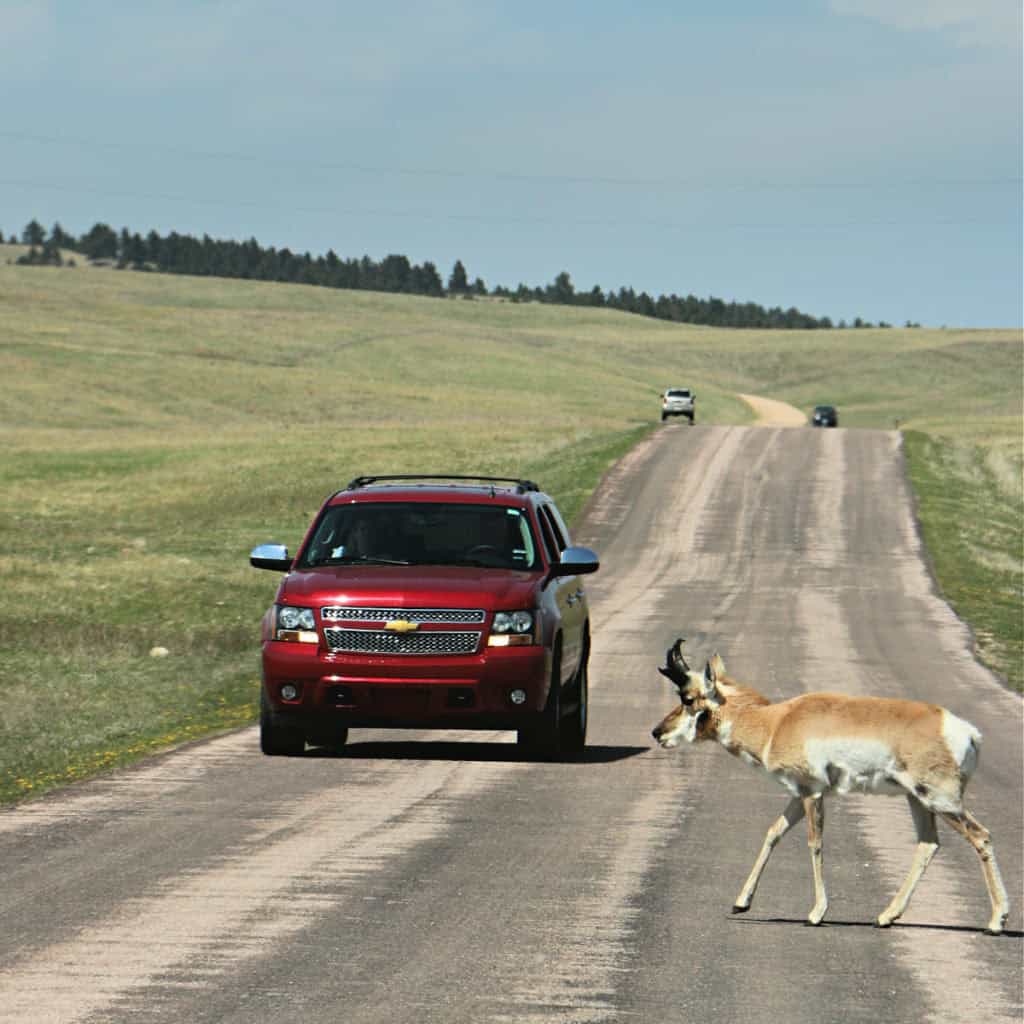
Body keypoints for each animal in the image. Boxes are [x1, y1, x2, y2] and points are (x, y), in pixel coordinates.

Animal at [651, 638, 1011, 937]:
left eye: (687, 698)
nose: (657, 732)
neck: (777, 722)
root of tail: (965, 731)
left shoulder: (812, 793)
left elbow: (815, 843)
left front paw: (816, 913)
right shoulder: (799, 794)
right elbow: (773, 833)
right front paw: (741, 902)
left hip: (941, 801)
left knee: (981, 836)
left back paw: (996, 921)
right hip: (918, 800)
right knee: (928, 844)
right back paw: (886, 916)